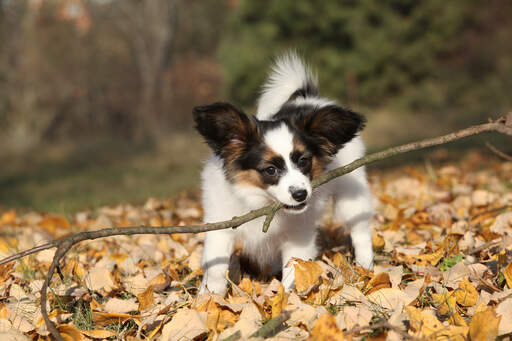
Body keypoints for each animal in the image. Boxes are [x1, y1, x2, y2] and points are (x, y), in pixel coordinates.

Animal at [194, 51, 374, 294]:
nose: (300, 194)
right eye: (270, 170)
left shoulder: (298, 236)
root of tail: (309, 98)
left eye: (304, 161)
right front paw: (210, 296)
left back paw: (366, 267)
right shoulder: (220, 226)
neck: (260, 201)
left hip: (350, 192)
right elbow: (215, 267)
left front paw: (287, 298)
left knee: (360, 229)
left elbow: (295, 270)